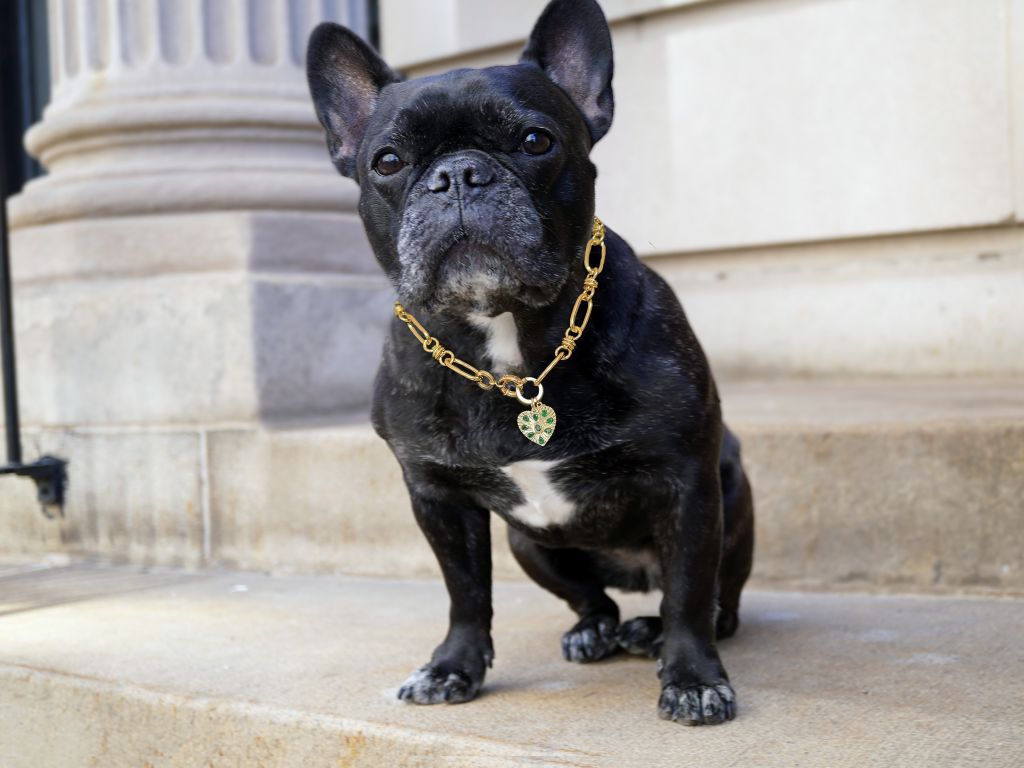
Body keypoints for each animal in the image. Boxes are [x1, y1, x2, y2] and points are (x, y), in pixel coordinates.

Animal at [303, 0, 753, 729]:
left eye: (537, 142)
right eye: (389, 161)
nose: (458, 174)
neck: (510, 346)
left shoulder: (687, 486)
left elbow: (689, 592)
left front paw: (693, 678)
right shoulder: (436, 498)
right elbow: (464, 591)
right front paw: (452, 667)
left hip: (732, 502)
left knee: (710, 601)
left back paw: (657, 632)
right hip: (530, 545)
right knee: (593, 599)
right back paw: (599, 630)